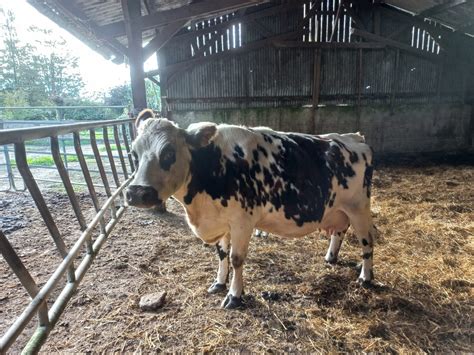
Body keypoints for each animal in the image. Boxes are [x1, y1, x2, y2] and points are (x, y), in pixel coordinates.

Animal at [125, 110, 374, 310]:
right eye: (133, 153)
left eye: (168, 152)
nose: (136, 193)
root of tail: (353, 137)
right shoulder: (222, 221)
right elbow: (221, 254)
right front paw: (219, 283)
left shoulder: (242, 221)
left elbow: (236, 258)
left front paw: (234, 296)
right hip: (339, 210)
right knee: (339, 231)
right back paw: (331, 257)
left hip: (359, 207)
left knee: (367, 241)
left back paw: (366, 277)